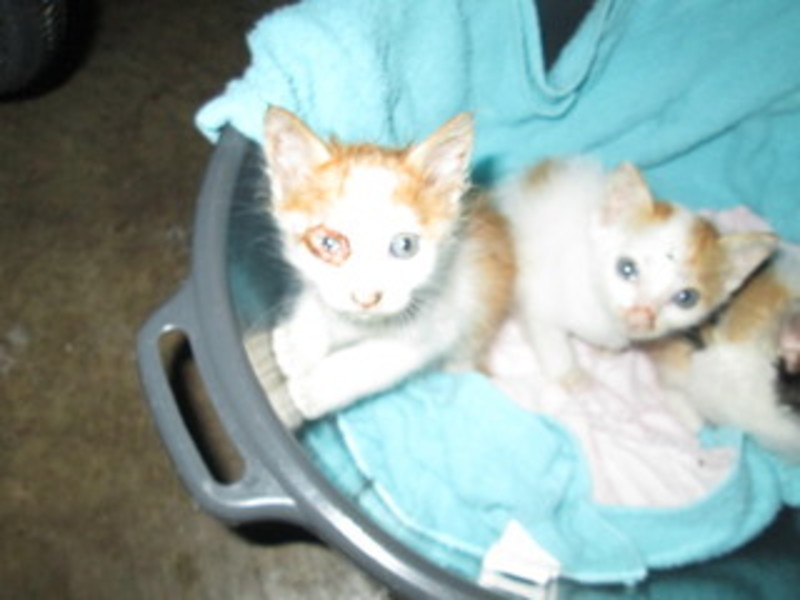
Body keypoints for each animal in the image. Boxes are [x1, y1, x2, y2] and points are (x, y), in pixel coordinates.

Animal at [254, 106, 514, 428]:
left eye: (405, 246)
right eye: (328, 243)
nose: (367, 298)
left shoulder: (439, 322)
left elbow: (378, 359)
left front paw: (314, 389)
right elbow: (316, 300)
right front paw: (297, 342)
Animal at [495, 157, 778, 391]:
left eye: (686, 298)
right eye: (626, 268)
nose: (641, 316)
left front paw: (606, 352)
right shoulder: (540, 292)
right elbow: (548, 336)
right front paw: (571, 375)